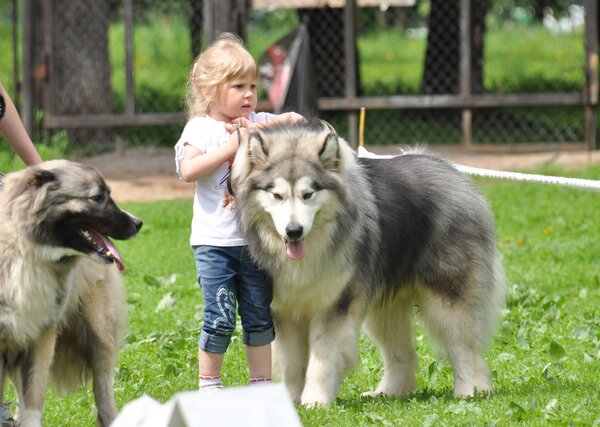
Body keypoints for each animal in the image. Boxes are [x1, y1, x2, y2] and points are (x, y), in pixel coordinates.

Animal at [0, 161, 142, 427]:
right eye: (97, 197)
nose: (138, 223)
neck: (27, 251)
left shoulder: (40, 339)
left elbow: (33, 404)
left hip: (99, 334)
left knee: (104, 391)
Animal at [232, 121, 504, 408]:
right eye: (277, 195)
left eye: (308, 194)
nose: (293, 231)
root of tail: (452, 172)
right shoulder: (284, 312)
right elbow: (291, 364)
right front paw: (291, 403)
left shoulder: (335, 307)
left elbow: (322, 360)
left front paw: (315, 401)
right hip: (385, 310)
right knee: (402, 354)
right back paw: (389, 392)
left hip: (448, 298)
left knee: (464, 348)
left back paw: (470, 390)